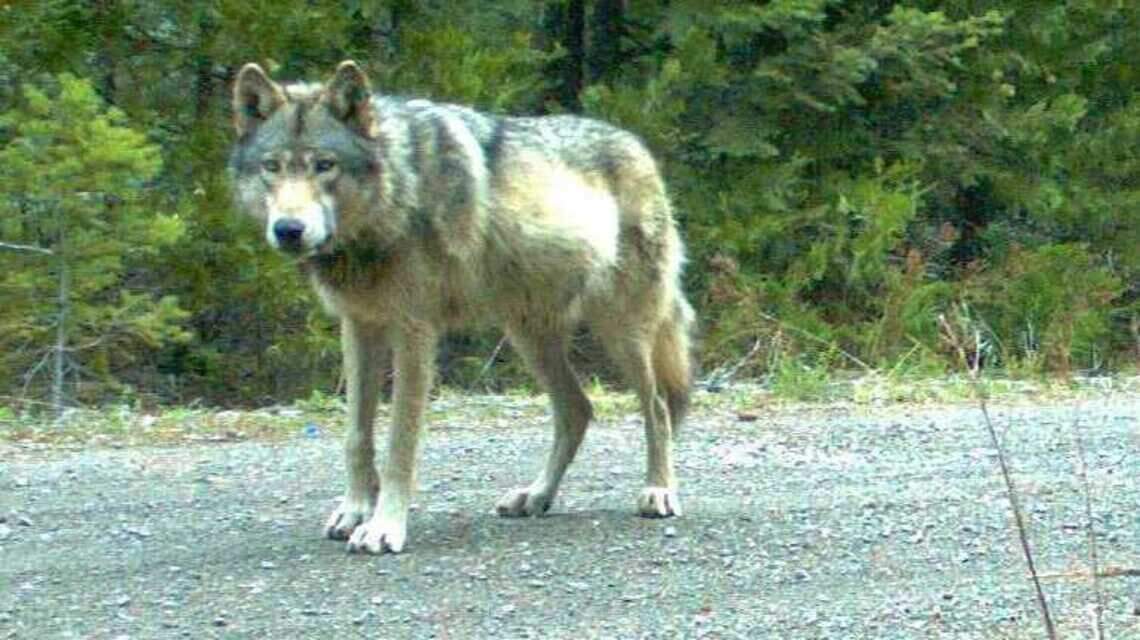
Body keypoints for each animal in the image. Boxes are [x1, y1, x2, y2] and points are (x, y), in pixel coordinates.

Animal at [229, 60, 695, 554]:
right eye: (272, 167)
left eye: (324, 165)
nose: (288, 229)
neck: (397, 192)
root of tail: (639, 145)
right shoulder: (359, 327)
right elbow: (357, 436)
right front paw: (354, 511)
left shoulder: (414, 333)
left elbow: (399, 443)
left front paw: (383, 527)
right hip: (529, 336)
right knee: (578, 409)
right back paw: (535, 496)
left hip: (622, 332)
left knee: (658, 406)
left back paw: (659, 490)